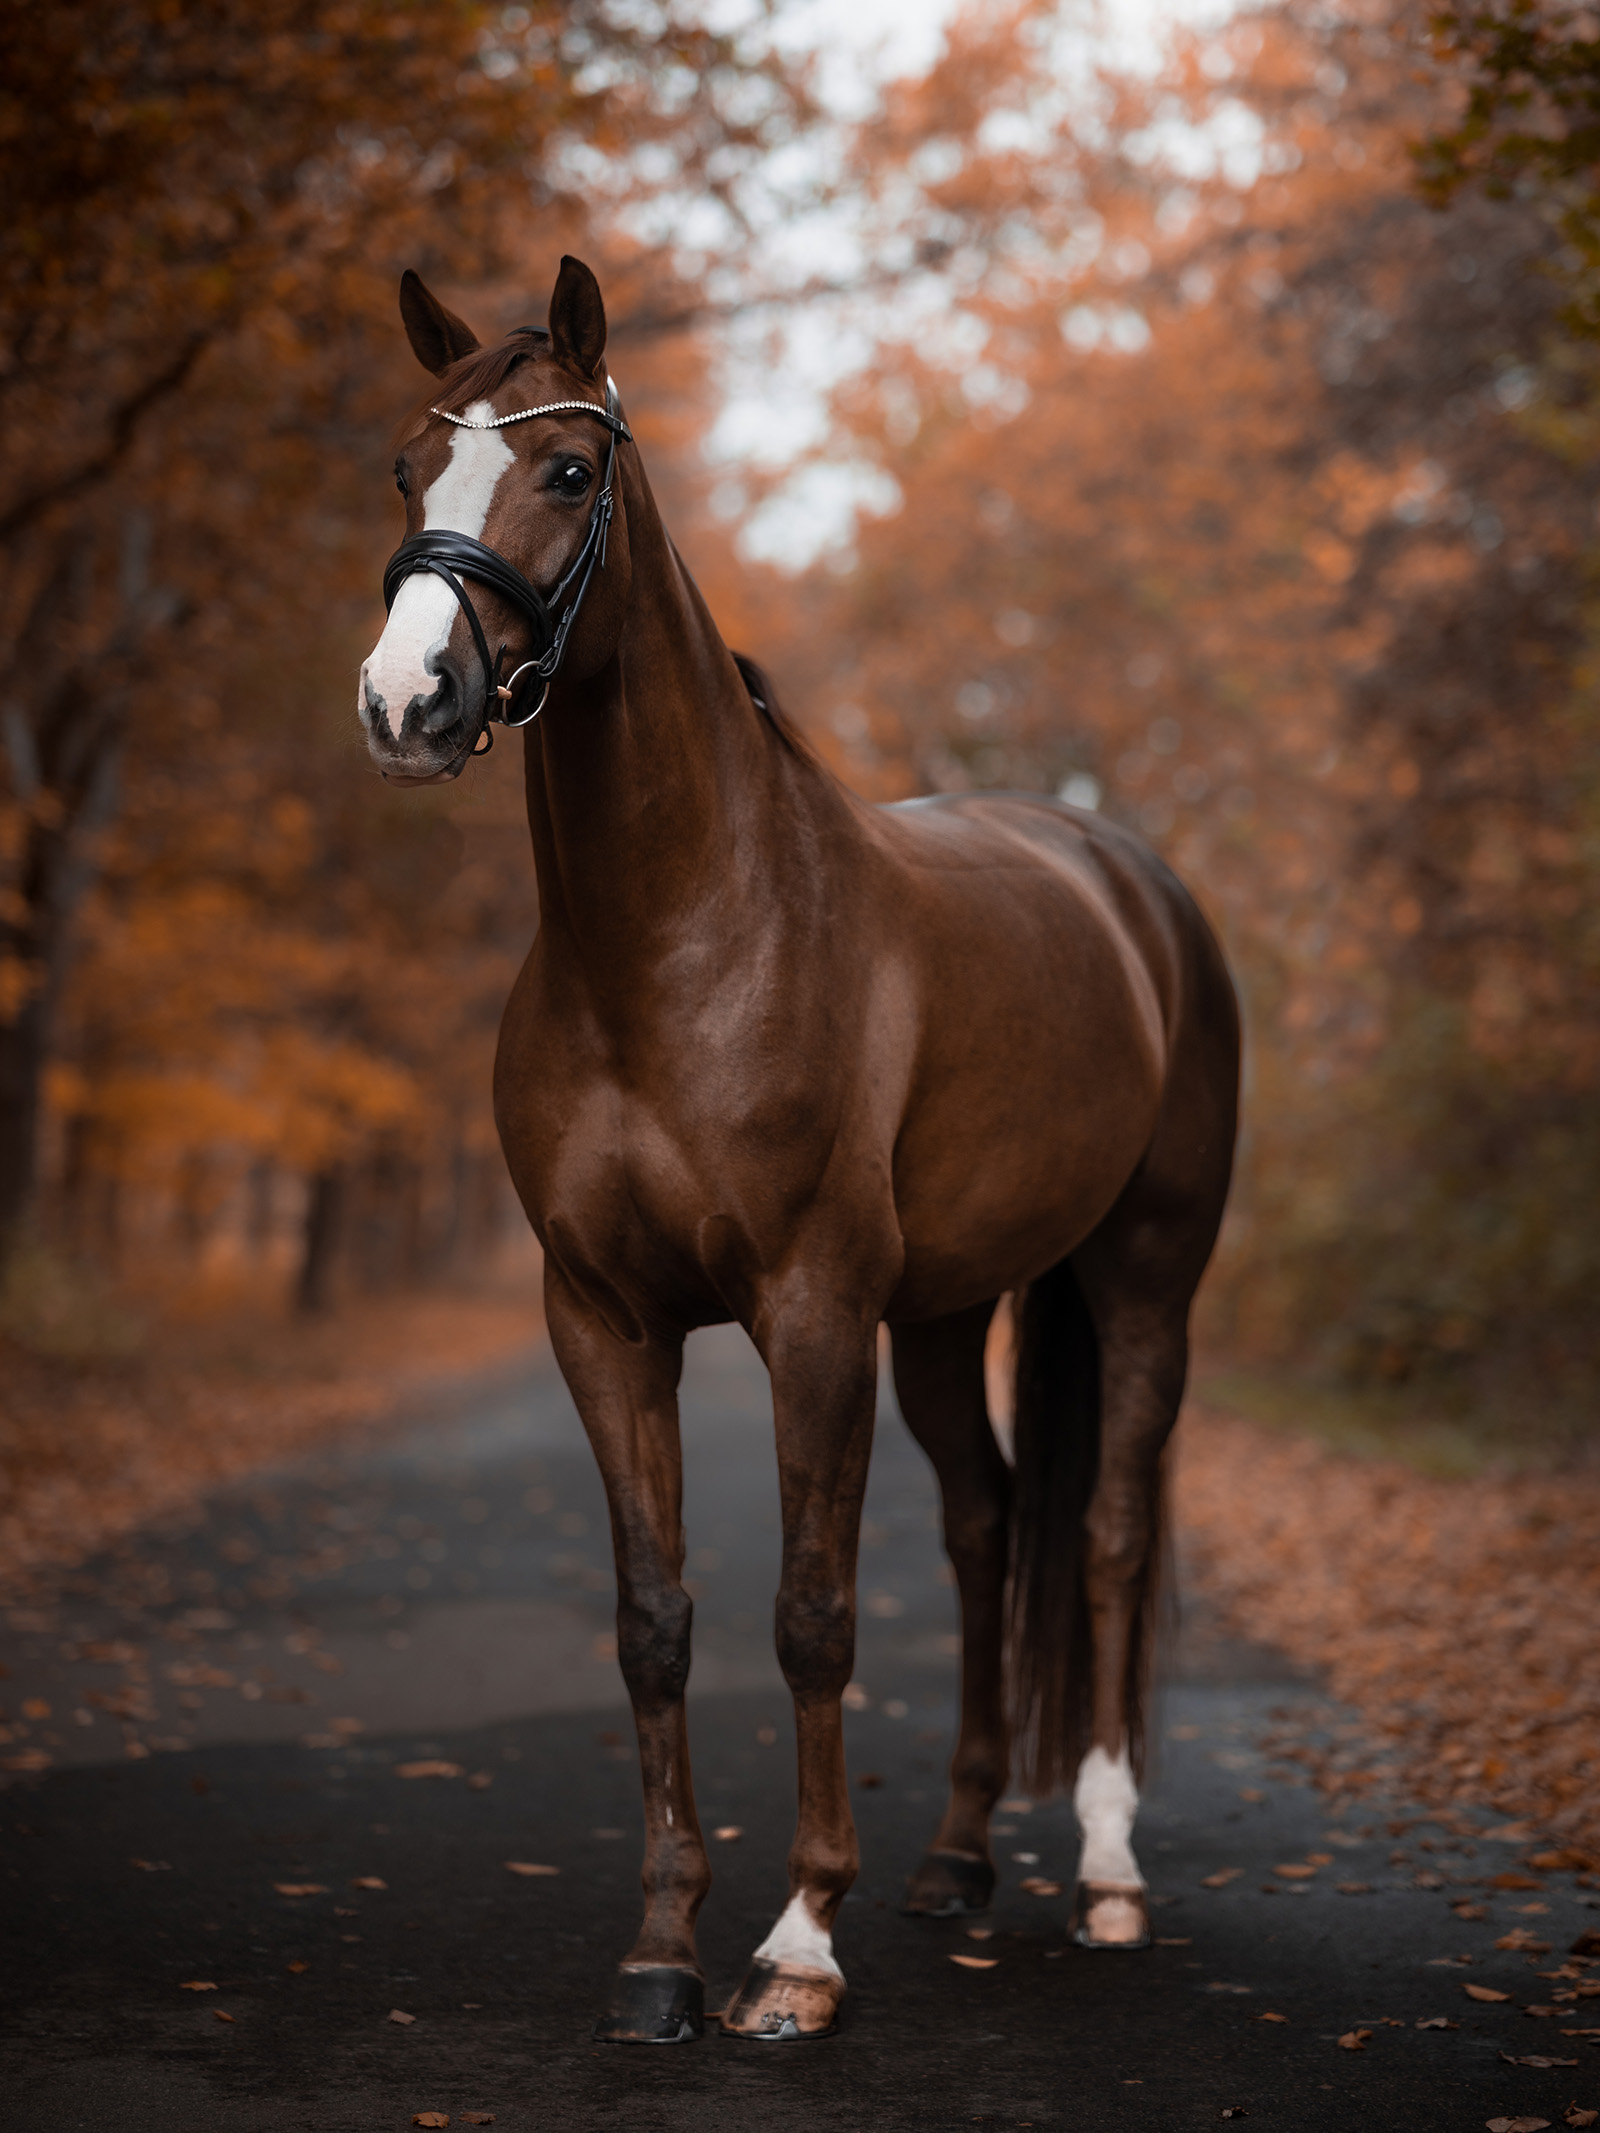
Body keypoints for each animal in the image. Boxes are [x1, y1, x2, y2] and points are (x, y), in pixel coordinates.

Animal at [360, 258, 1237, 2039]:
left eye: (569, 471)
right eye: (408, 472)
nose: (407, 703)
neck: (682, 941)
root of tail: (1133, 882)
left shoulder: (815, 1316)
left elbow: (813, 1615)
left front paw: (795, 1951)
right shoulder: (602, 1322)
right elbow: (655, 1622)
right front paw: (659, 1955)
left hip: (1142, 1285)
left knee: (1104, 1533)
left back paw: (1110, 1874)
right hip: (951, 1315)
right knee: (989, 1525)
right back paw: (958, 1861)